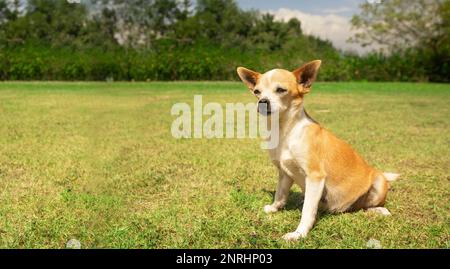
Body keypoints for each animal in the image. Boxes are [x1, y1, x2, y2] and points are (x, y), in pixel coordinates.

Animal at [237, 60, 400, 239]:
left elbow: (307, 211)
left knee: (369, 205)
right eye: (257, 92)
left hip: (378, 182)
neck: (286, 131)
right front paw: (274, 208)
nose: (262, 102)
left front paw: (298, 234)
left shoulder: (315, 177)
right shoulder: (285, 172)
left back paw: (380, 210)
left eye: (280, 90)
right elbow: (281, 194)